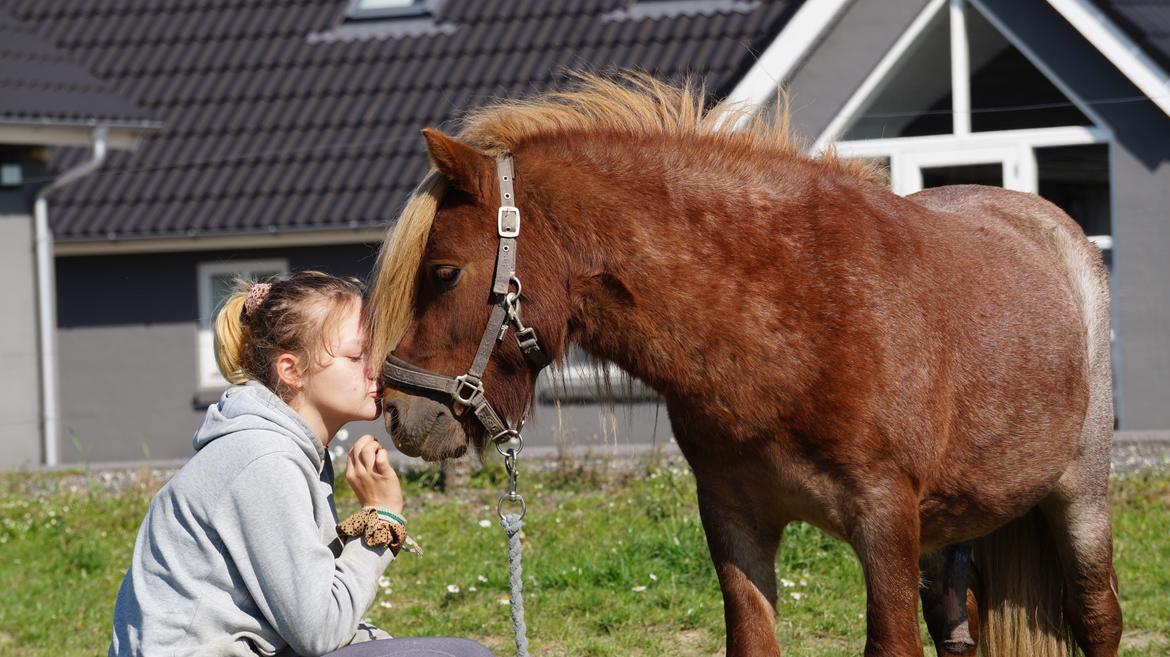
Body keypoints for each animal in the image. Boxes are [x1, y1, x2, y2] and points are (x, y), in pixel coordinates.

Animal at [365, 71, 1113, 654]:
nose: (398, 411)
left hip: (1080, 496)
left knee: (1099, 619)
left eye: (442, 272)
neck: (794, 316)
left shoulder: (886, 521)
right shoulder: (734, 518)